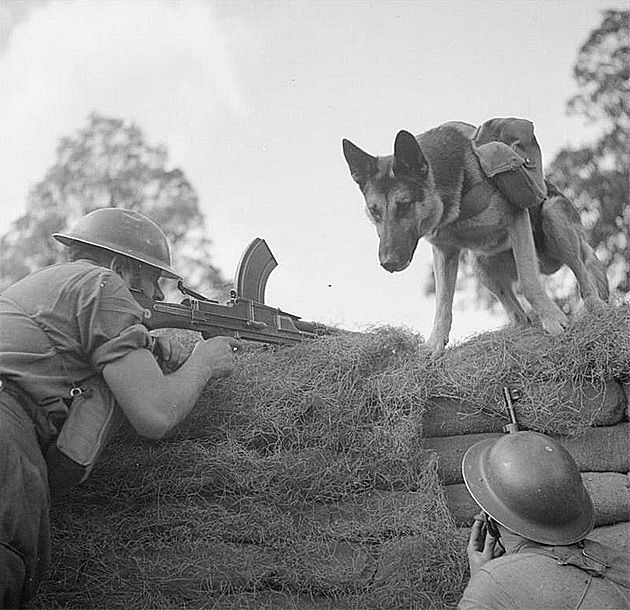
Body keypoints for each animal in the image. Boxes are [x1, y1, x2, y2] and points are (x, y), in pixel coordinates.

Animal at [344, 120, 608, 356]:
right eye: (374, 211)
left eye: (404, 205)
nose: (388, 263)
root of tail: (548, 265)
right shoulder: (444, 251)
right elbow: (442, 303)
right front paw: (435, 344)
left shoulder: (517, 218)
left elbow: (529, 281)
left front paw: (553, 319)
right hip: (479, 263)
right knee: (518, 314)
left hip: (554, 217)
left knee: (583, 273)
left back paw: (596, 307)